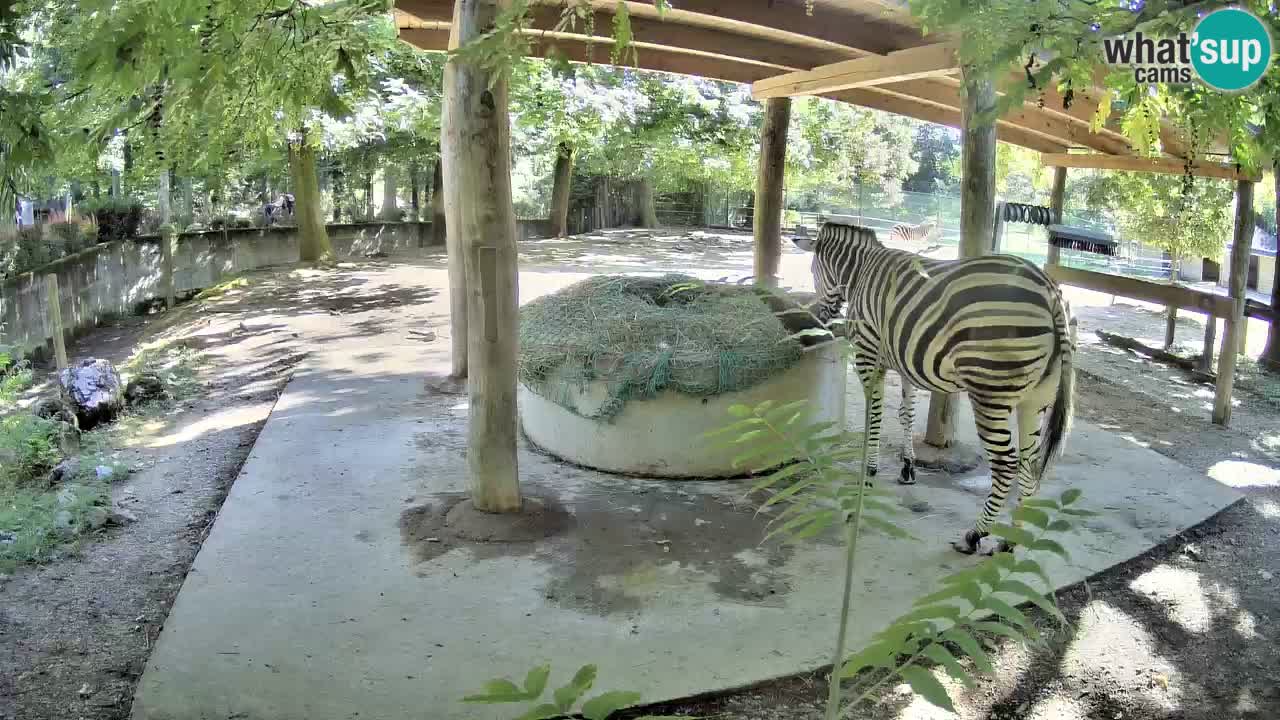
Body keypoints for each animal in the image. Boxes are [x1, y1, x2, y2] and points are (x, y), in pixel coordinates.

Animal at [793, 222, 1076, 555]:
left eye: (813, 270)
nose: (818, 315)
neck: (860, 271)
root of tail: (1049, 290)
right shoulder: (902, 361)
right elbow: (906, 414)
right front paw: (907, 467)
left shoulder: (867, 355)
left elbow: (873, 417)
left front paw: (869, 473)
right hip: (1036, 397)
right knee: (1029, 463)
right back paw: (1010, 541)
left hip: (990, 391)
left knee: (1006, 464)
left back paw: (974, 535)